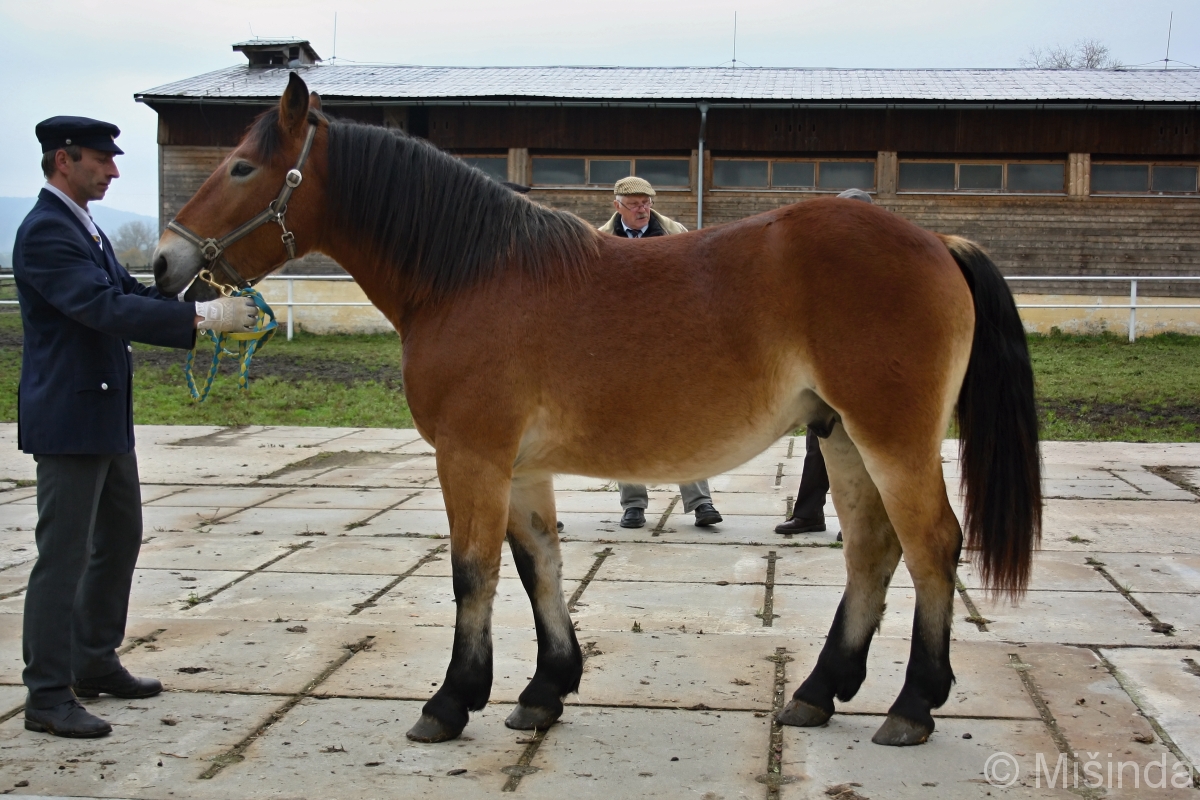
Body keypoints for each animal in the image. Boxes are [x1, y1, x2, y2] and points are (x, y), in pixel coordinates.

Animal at [154, 74, 1041, 753]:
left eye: (241, 167)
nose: (164, 264)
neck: (471, 275)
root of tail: (934, 242)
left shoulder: (471, 455)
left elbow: (472, 572)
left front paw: (451, 700)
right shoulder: (518, 466)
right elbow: (537, 565)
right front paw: (545, 689)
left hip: (893, 437)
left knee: (933, 546)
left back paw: (913, 705)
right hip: (843, 437)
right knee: (872, 551)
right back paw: (822, 691)